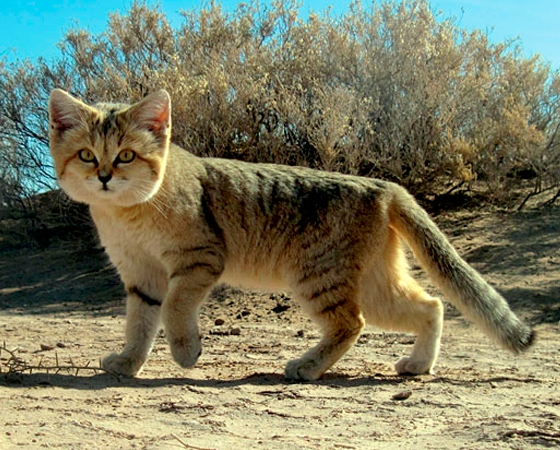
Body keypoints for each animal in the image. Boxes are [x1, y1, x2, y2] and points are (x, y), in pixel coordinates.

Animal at [48, 89, 532, 380]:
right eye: (87, 155)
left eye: (127, 155)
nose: (105, 177)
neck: (126, 212)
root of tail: (385, 186)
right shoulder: (141, 276)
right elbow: (139, 323)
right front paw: (127, 363)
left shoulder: (198, 258)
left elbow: (174, 308)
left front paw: (186, 352)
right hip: (375, 284)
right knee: (431, 306)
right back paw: (417, 364)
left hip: (317, 277)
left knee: (351, 323)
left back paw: (308, 366)